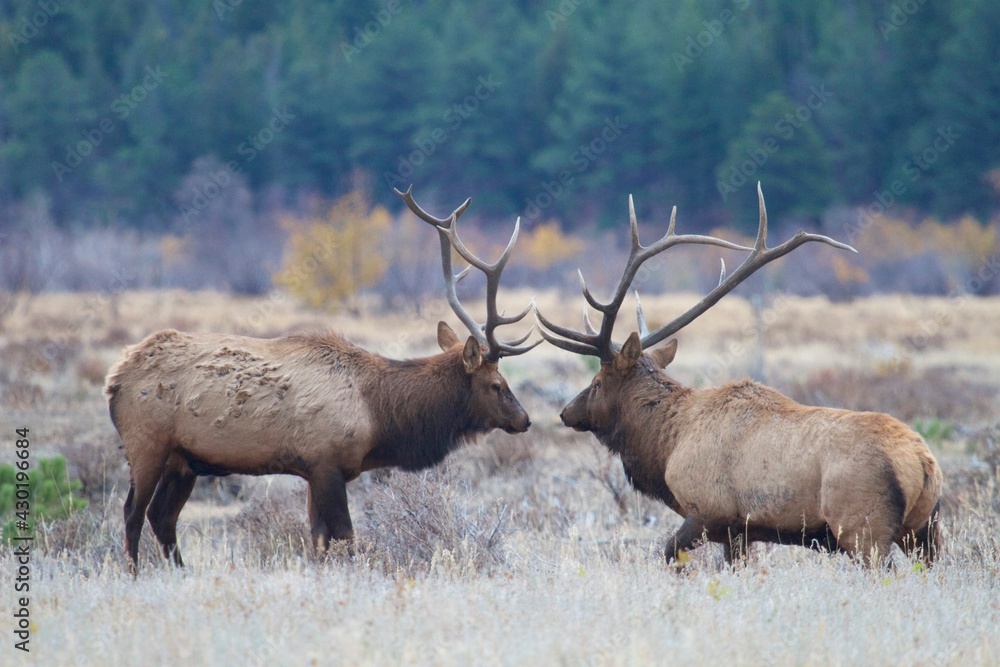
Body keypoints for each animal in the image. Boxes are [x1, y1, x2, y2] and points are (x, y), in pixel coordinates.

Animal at [105, 187, 537, 573]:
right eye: (497, 385)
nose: (525, 419)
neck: (378, 415)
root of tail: (115, 377)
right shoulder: (326, 461)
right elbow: (345, 537)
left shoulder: (312, 469)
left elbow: (318, 541)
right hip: (146, 442)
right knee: (132, 512)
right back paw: (133, 574)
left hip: (184, 459)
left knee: (162, 517)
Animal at [535, 184, 942, 568]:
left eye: (597, 382)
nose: (566, 412)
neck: (667, 445)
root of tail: (923, 463)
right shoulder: (741, 532)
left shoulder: (709, 511)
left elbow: (669, 553)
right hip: (926, 530)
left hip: (861, 527)